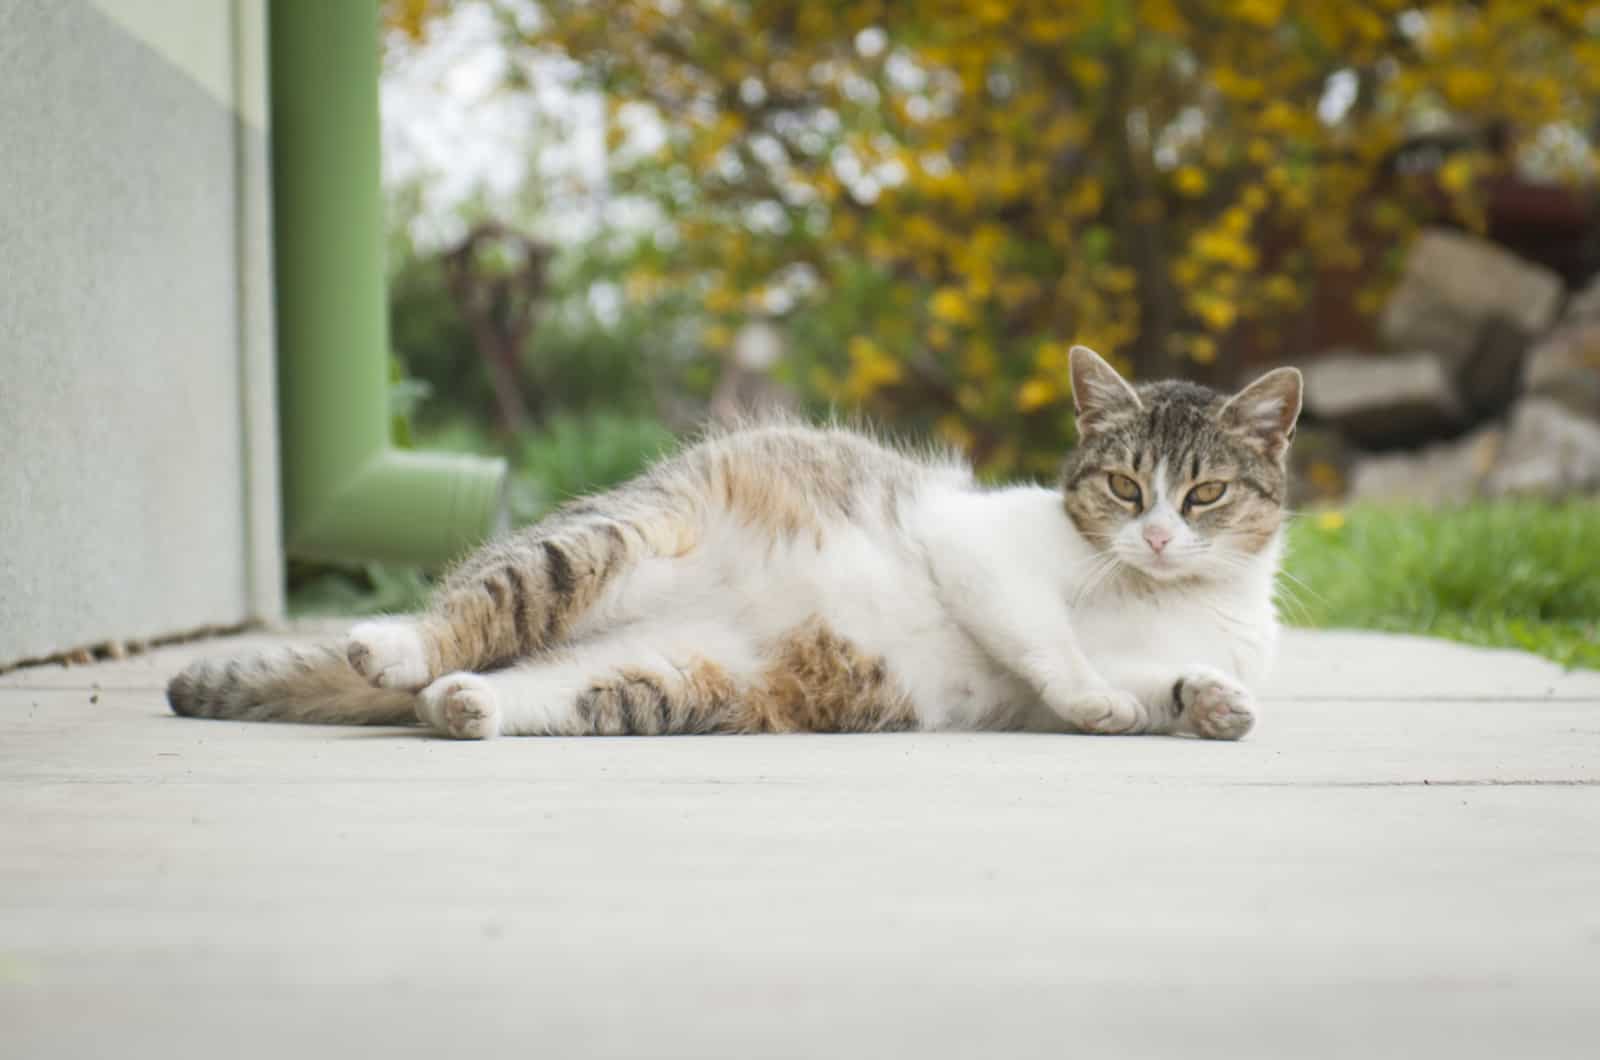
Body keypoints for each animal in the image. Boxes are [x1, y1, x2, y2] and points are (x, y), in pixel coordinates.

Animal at [172, 344, 1299, 742]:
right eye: (1123, 486)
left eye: (1204, 493)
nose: (1159, 536)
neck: (1158, 596)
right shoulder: (979, 546)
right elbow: (1049, 642)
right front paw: (1101, 695)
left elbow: (1160, 684)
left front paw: (1211, 703)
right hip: (601, 546)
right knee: (466, 612)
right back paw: (396, 648)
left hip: (660, 679)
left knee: (514, 683)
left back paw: (463, 707)